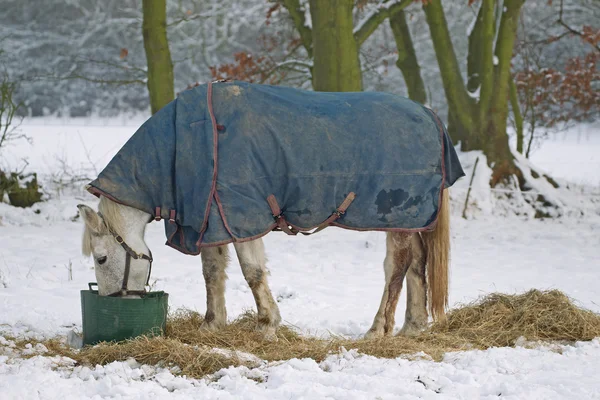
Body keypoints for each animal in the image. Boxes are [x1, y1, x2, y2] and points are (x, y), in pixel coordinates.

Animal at [76, 189, 450, 340]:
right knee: (417, 263)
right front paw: (212, 324)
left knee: (398, 265)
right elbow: (212, 272)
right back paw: (413, 326)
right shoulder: (215, 221)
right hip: (412, 221)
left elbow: (252, 272)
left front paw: (268, 324)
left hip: (398, 221)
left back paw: (377, 329)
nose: (111, 305)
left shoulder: (240, 220)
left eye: (101, 258)